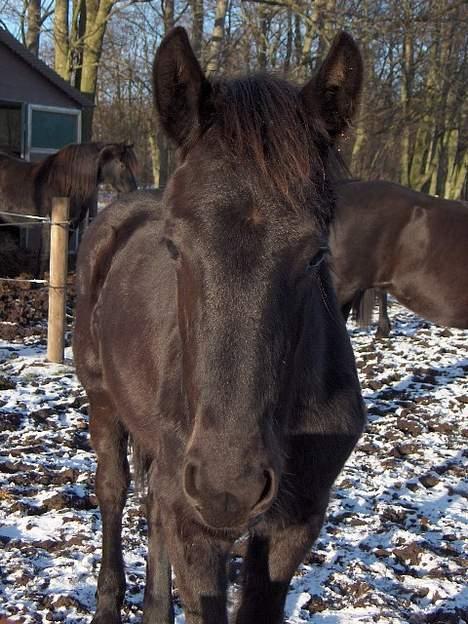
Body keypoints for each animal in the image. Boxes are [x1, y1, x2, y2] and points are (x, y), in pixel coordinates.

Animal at [0, 144, 138, 276]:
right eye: (122, 165)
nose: (133, 192)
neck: (65, 182)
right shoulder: (48, 222)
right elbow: (45, 254)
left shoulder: (71, 224)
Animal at [74, 26, 366, 620]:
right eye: (174, 247)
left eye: (316, 255)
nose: (227, 486)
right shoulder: (197, 525)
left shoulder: (294, 524)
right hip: (104, 403)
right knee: (113, 491)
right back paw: (109, 602)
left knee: (153, 508)